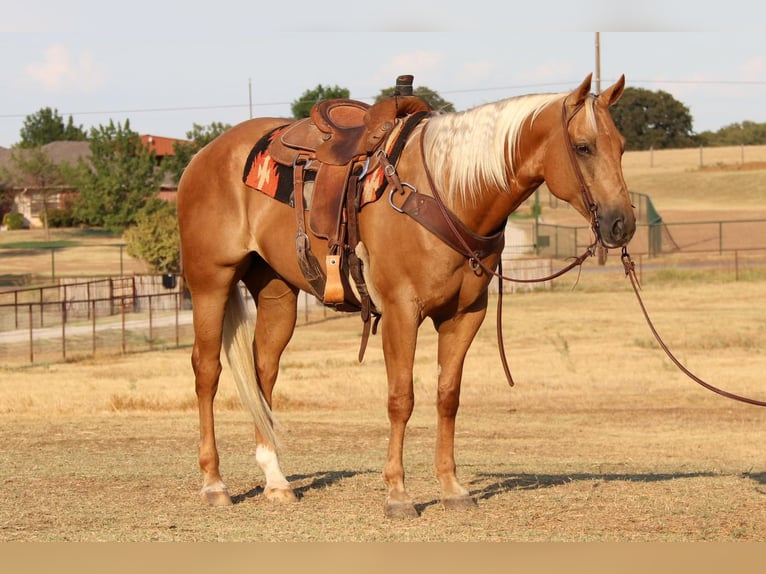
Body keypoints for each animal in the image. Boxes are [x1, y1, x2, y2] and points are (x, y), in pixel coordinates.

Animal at [178, 74, 636, 520]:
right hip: (210, 282)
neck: (450, 194)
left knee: (263, 373)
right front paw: (397, 494)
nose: (622, 224)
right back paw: (214, 483)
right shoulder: (401, 312)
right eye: (583, 147)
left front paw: (452, 488)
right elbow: (401, 399)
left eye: (621, 146)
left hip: (277, 293)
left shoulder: (466, 314)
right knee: (207, 372)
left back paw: (276, 481)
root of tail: (202, 157)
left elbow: (447, 396)